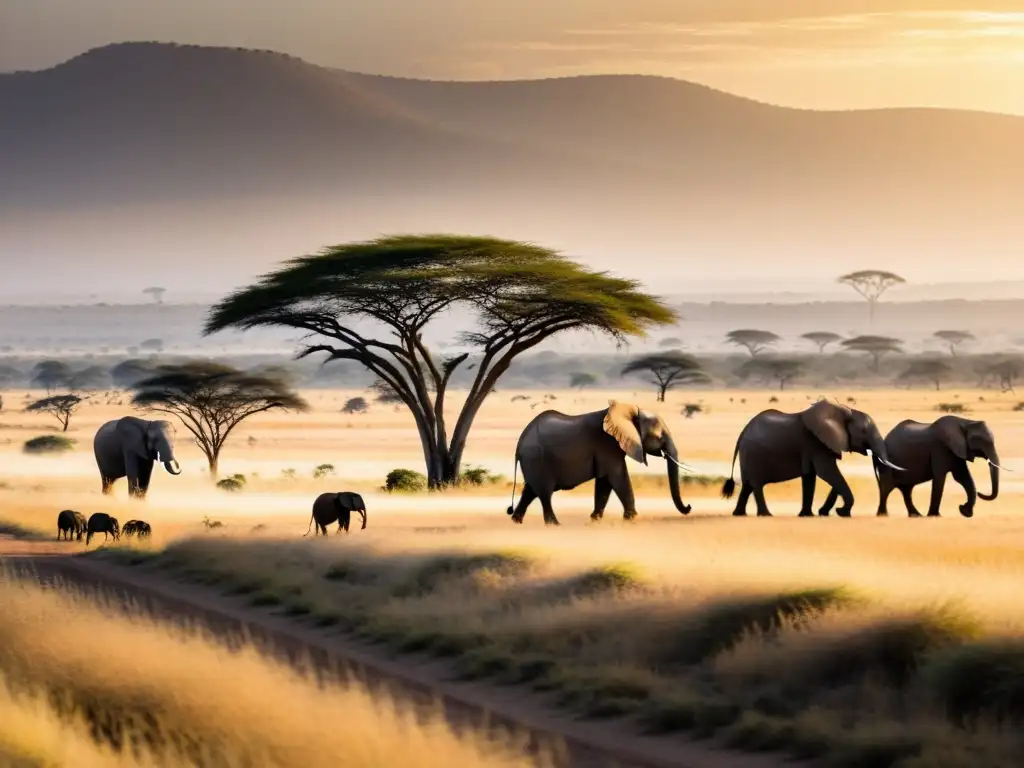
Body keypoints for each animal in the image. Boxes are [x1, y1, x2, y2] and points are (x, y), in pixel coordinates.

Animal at [505, 399, 692, 528]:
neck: (628, 412)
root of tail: (519, 445)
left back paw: (516, 521)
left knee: (530, 491)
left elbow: (604, 482)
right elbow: (617, 476)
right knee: (544, 492)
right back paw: (555, 525)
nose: (689, 507)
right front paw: (632, 519)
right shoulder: (607, 445)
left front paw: (594, 520)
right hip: (537, 459)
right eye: (659, 436)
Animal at [720, 403, 905, 518]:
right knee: (756, 485)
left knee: (747, 486)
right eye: (864, 431)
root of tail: (743, 432)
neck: (842, 411)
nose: (839, 509)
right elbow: (827, 472)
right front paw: (842, 512)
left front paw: (809, 514)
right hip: (753, 456)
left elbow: (811, 477)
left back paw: (739, 514)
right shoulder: (815, 443)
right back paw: (766, 515)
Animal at [856, 415, 999, 518]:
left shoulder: (956, 451)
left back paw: (915, 515)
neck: (965, 422)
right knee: (887, 487)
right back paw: (883, 515)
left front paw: (965, 512)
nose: (961, 506)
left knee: (906, 490)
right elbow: (940, 477)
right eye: (980, 441)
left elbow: (962, 477)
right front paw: (935, 516)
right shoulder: (941, 448)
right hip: (886, 463)